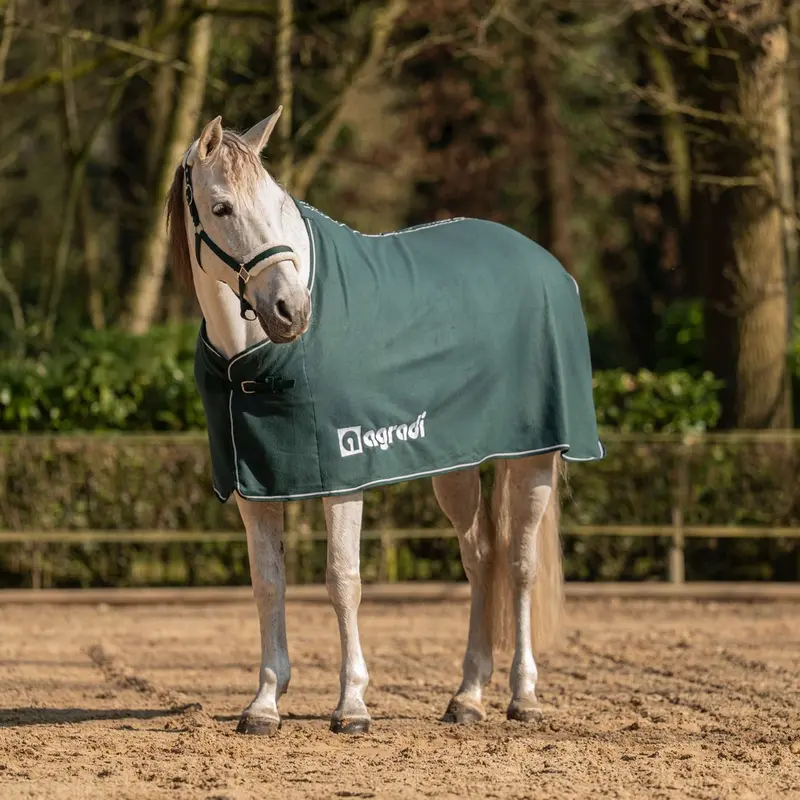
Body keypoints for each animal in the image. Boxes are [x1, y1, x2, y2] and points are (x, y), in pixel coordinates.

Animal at [166, 108, 604, 736]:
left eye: (277, 203)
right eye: (221, 207)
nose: (292, 311)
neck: (251, 360)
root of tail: (547, 266)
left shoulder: (343, 474)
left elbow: (342, 581)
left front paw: (352, 705)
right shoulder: (255, 486)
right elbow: (268, 584)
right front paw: (265, 703)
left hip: (534, 458)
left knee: (520, 566)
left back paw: (524, 697)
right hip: (456, 467)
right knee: (481, 559)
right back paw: (467, 697)